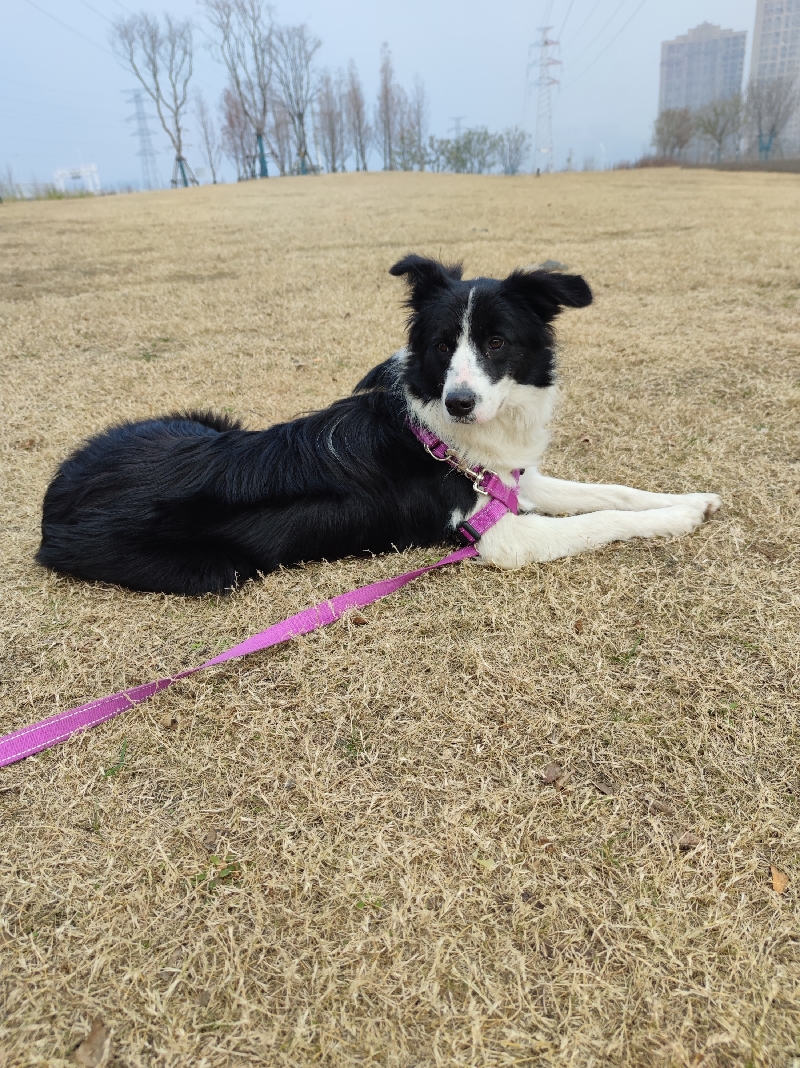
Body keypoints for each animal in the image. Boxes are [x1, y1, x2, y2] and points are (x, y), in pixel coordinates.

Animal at [37, 255, 722, 598]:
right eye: (443, 346)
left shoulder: (510, 482)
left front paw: (693, 499)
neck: (441, 437)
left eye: (497, 342)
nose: (460, 403)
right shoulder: (498, 538)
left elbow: (610, 493)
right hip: (218, 570)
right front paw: (678, 520)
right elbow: (598, 520)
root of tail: (54, 496)